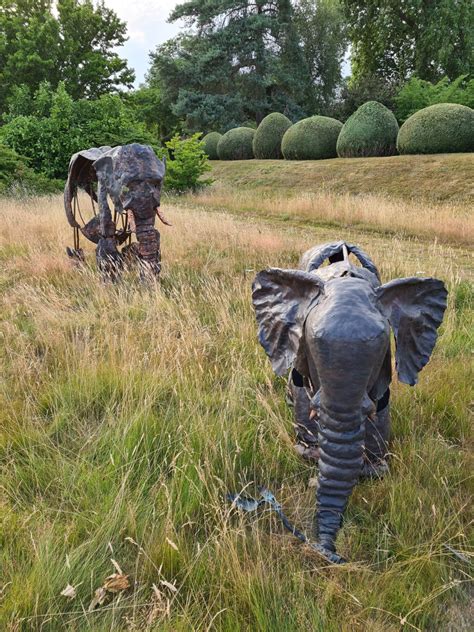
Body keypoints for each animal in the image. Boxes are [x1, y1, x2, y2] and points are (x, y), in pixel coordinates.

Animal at [252, 242, 448, 564]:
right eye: (312, 345)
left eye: (380, 348)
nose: (329, 552)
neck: (347, 284)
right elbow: (304, 400)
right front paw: (309, 455)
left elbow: (381, 410)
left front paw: (373, 471)